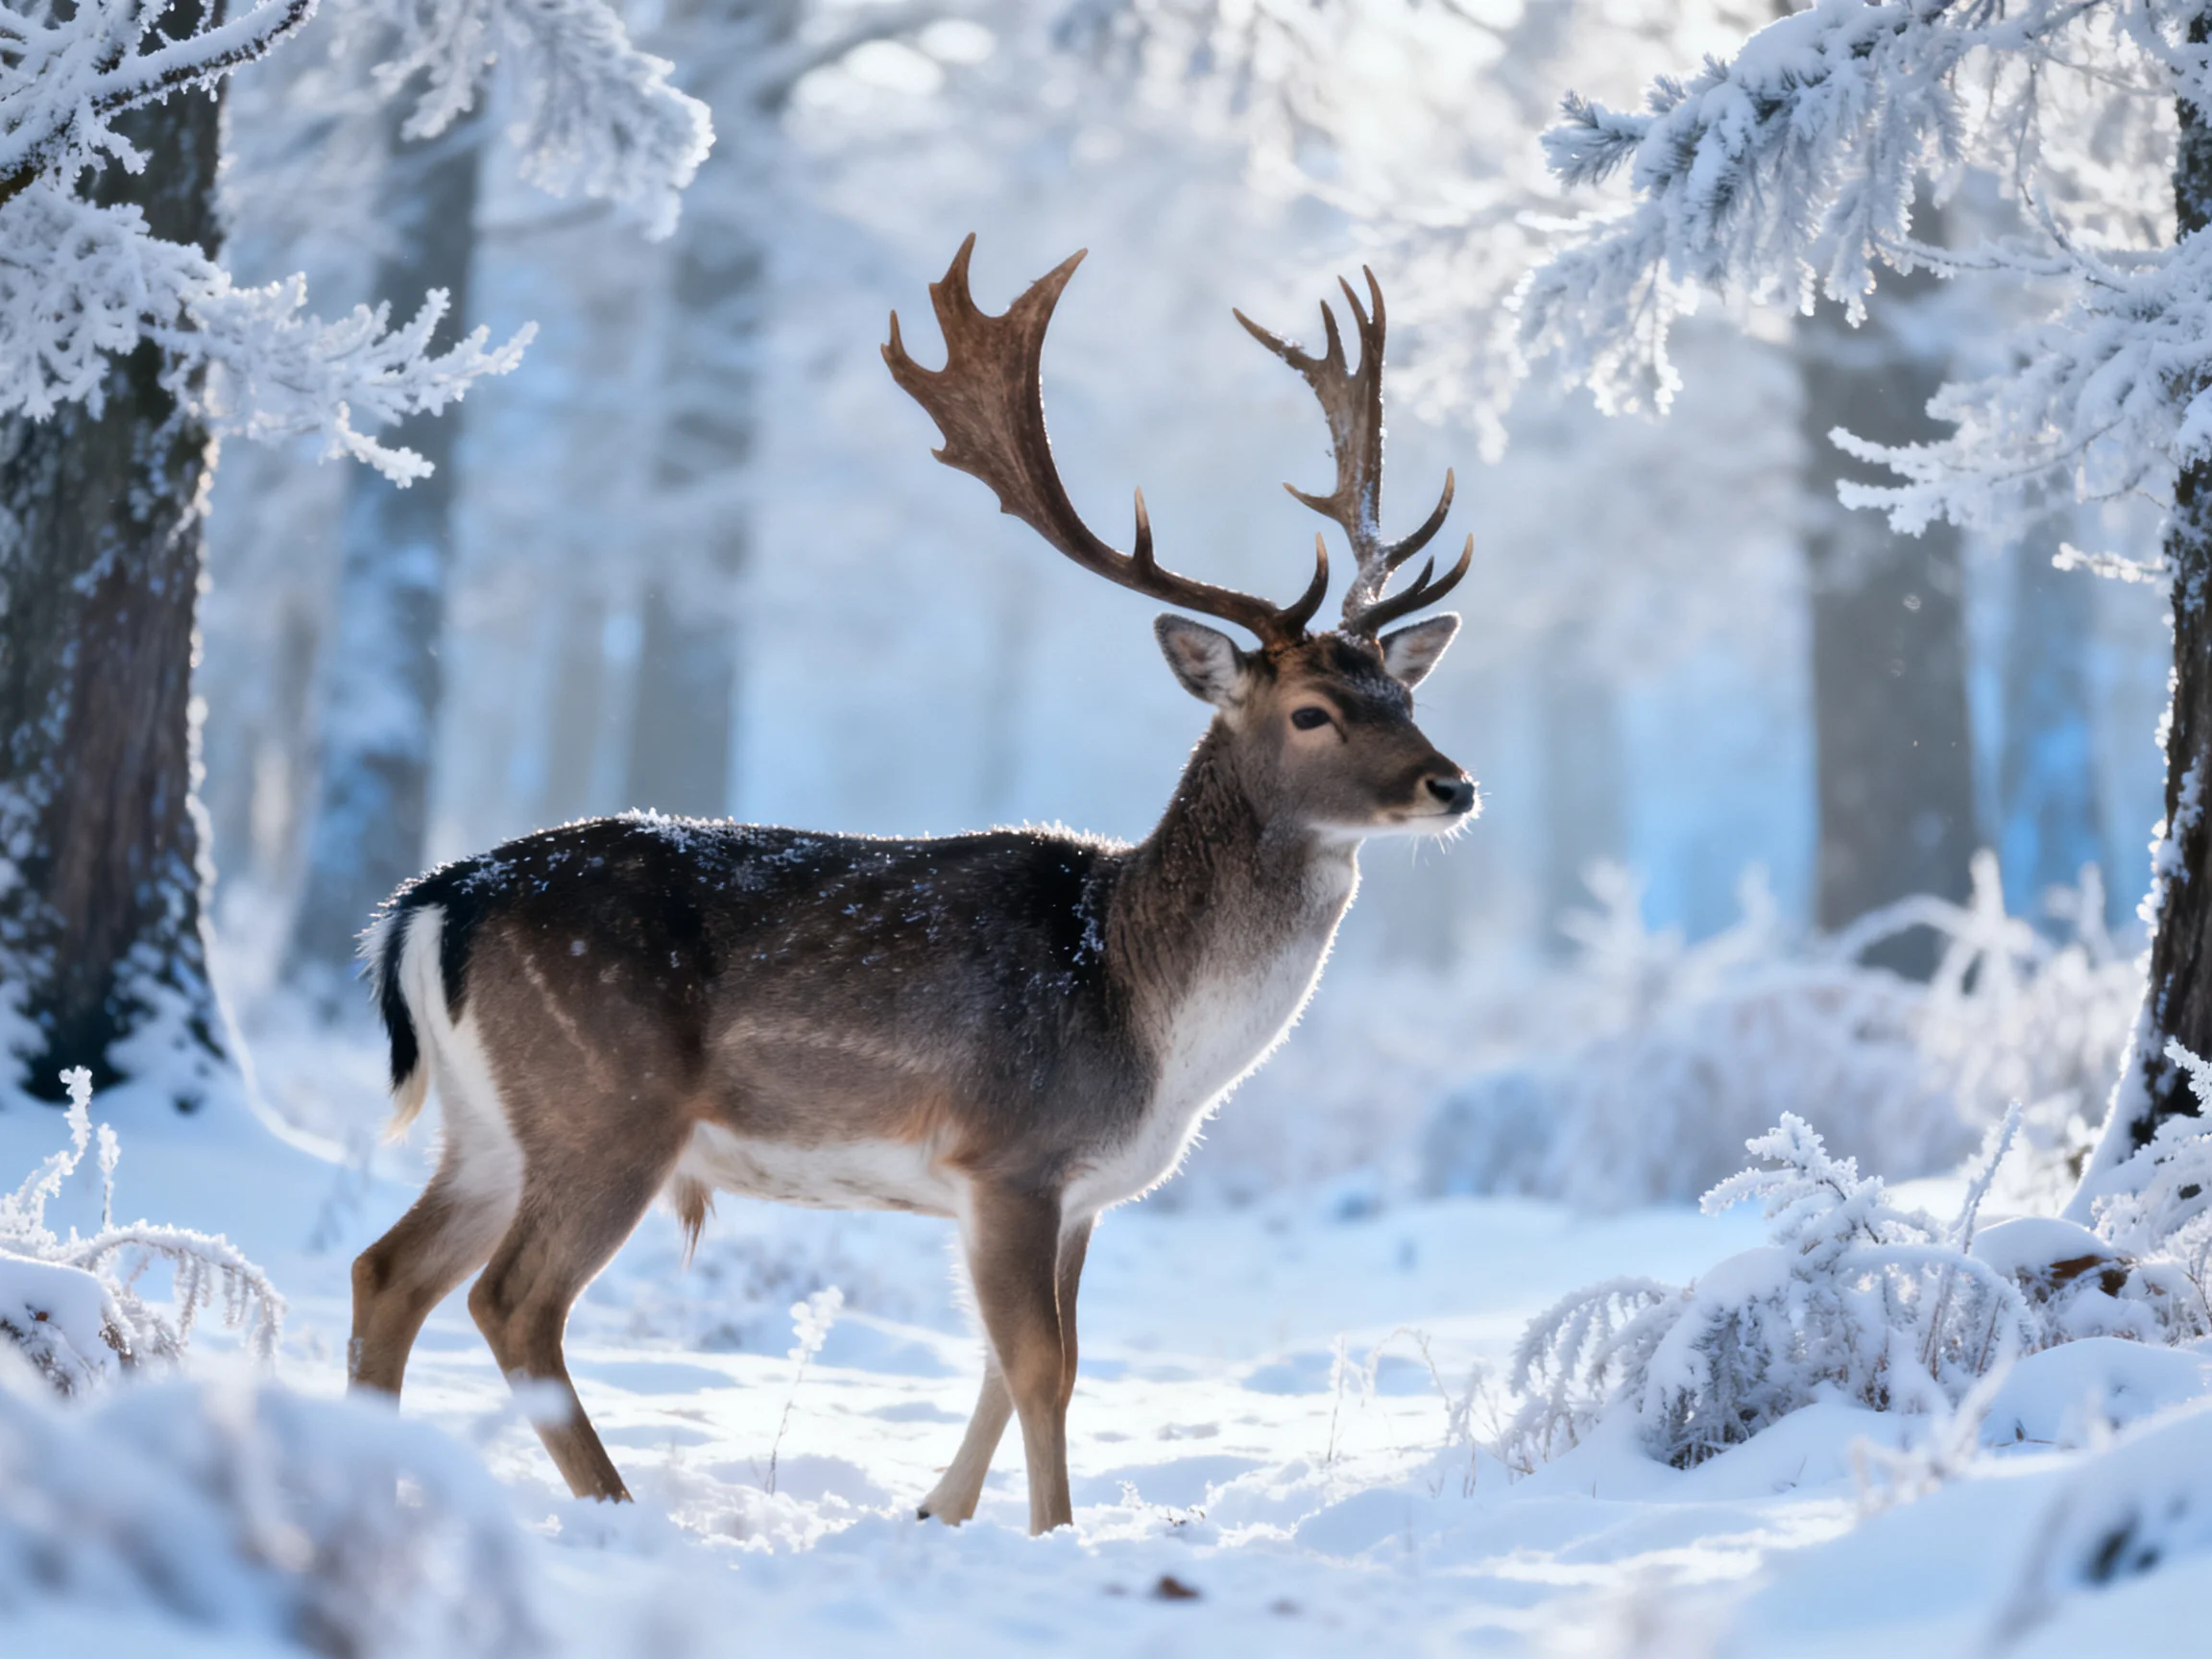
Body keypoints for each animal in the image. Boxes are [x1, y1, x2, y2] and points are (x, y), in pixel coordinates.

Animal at [346, 236, 1477, 1536]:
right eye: (1311, 712)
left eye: (1405, 692)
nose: (1453, 784)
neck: (1146, 1015)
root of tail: (431, 900)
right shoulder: (1011, 1151)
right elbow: (1041, 1367)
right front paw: (1055, 1535)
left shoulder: (1079, 1192)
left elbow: (1014, 1363)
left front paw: (939, 1511)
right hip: (605, 1102)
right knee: (510, 1300)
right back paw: (619, 1508)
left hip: (491, 1123)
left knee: (387, 1271)